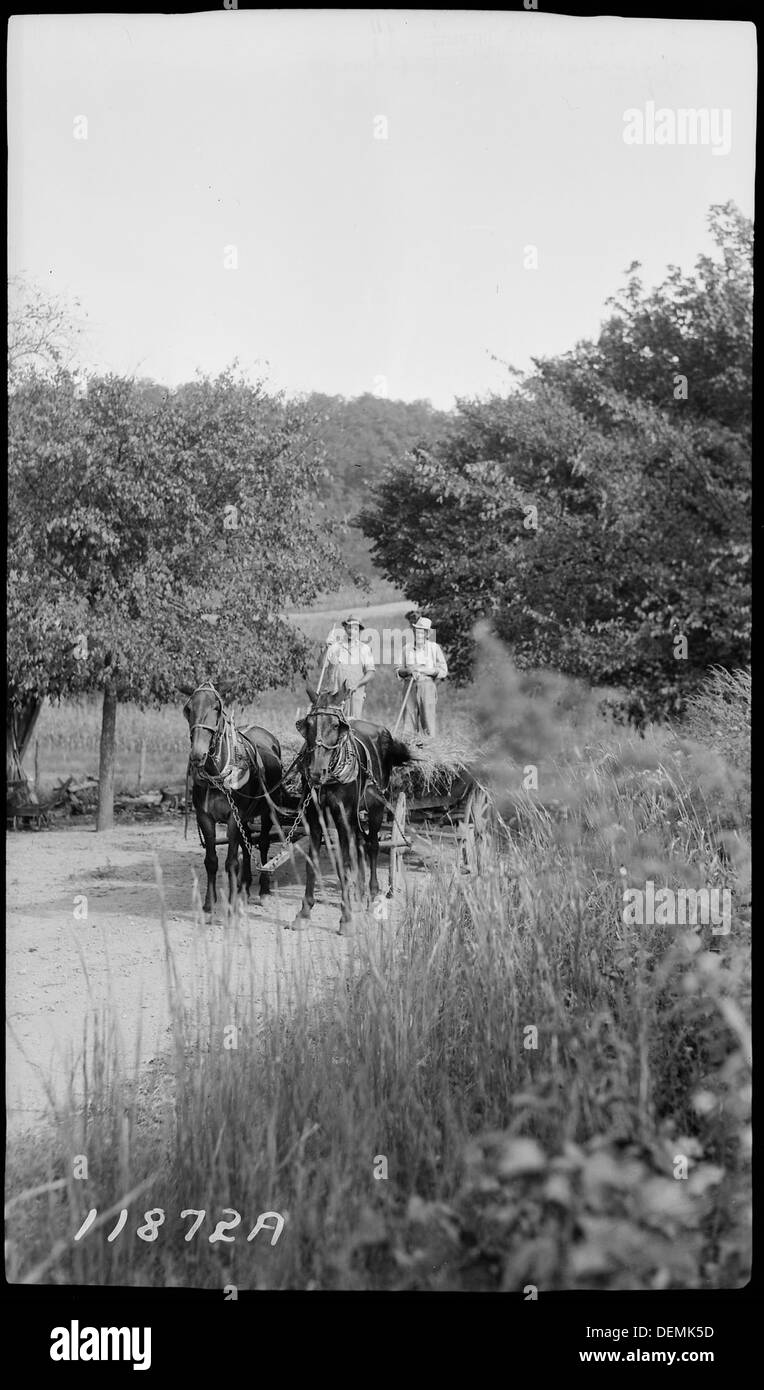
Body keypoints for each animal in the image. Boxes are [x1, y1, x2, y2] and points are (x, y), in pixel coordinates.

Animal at [179, 678, 284, 917]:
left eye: (216, 708)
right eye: (188, 709)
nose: (197, 754)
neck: (217, 774)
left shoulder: (232, 819)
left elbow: (231, 862)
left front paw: (231, 904)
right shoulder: (205, 817)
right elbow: (211, 860)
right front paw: (209, 904)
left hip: (267, 810)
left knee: (263, 843)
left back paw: (263, 890)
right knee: (248, 844)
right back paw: (245, 884)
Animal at [290, 681, 413, 934]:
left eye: (336, 725)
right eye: (307, 725)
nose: (315, 772)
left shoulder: (343, 818)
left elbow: (345, 864)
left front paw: (345, 918)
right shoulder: (314, 817)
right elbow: (312, 862)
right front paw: (304, 912)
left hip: (376, 807)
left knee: (372, 845)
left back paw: (372, 895)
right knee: (360, 845)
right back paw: (359, 894)